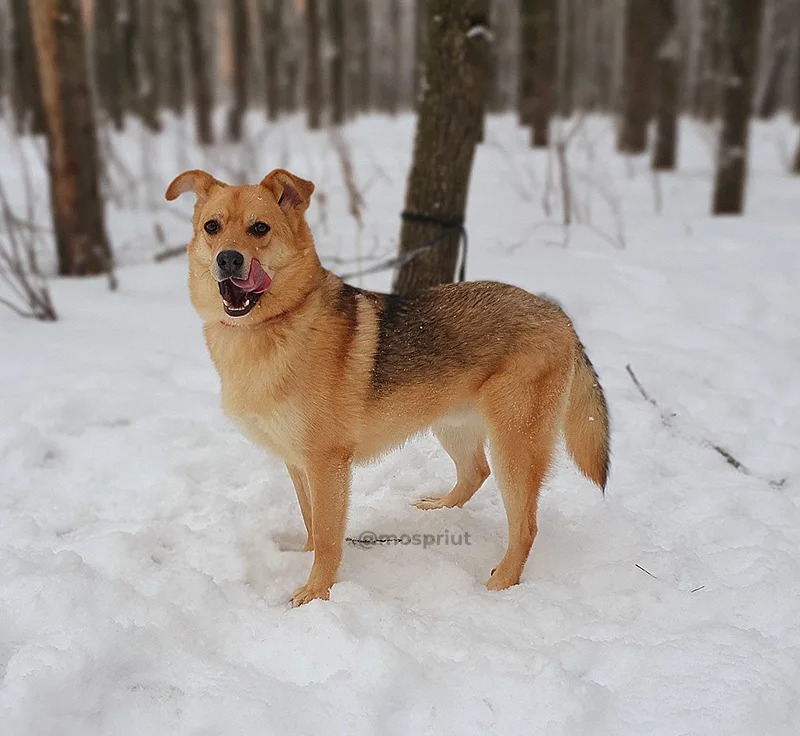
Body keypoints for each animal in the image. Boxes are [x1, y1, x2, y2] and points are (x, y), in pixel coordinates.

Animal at [166, 170, 608, 608]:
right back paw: (439, 509)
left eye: (259, 228)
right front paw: (306, 562)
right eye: (212, 227)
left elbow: (328, 537)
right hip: (452, 423)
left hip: (514, 446)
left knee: (526, 525)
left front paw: (316, 594)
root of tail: (558, 316)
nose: (229, 259)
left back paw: (501, 584)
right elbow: (311, 525)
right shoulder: (298, 462)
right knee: (475, 472)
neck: (276, 324)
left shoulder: (326, 464)